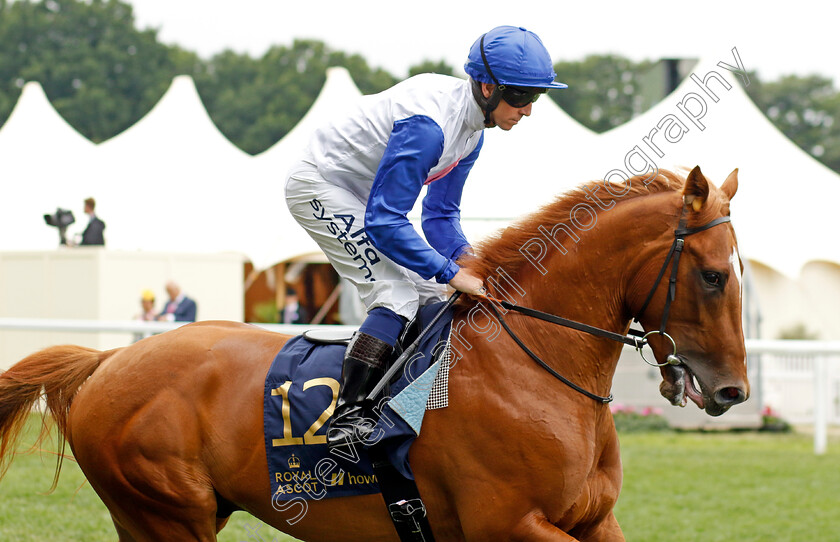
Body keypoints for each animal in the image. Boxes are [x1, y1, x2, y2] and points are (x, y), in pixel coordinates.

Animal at [0, 168, 748, 540]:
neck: (533, 368)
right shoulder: (507, 524)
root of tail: (105, 363)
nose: (733, 391)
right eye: (714, 275)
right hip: (167, 517)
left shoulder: (593, 521)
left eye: (739, 270)